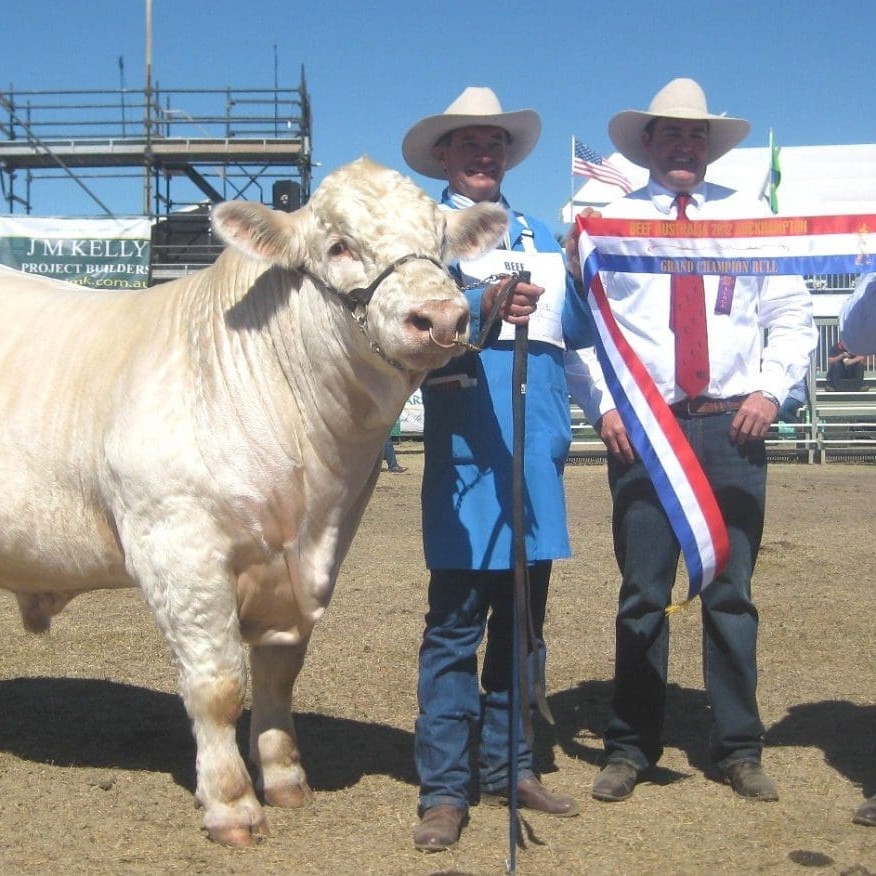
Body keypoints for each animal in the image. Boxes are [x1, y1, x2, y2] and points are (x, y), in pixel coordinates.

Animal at [0, 156, 506, 840]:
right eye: (338, 246)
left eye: (441, 244)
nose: (441, 318)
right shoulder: (175, 542)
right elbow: (215, 684)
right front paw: (231, 803)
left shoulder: (310, 562)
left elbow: (277, 675)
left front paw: (286, 779)